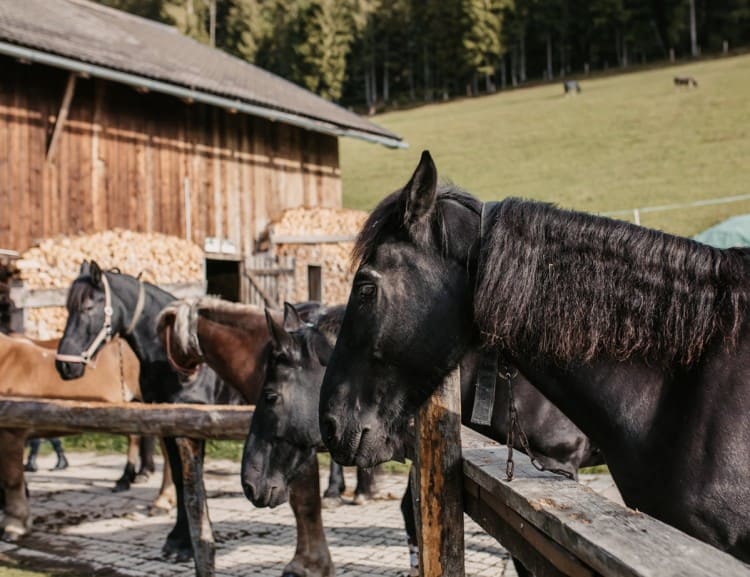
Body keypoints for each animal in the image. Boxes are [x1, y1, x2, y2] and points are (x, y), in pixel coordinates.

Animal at [55, 261, 244, 572]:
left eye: (89, 306)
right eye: (67, 307)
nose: (64, 366)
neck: (173, 355)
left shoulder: (194, 429)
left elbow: (193, 485)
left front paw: (187, 545)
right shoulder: (168, 427)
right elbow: (180, 480)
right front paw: (177, 540)